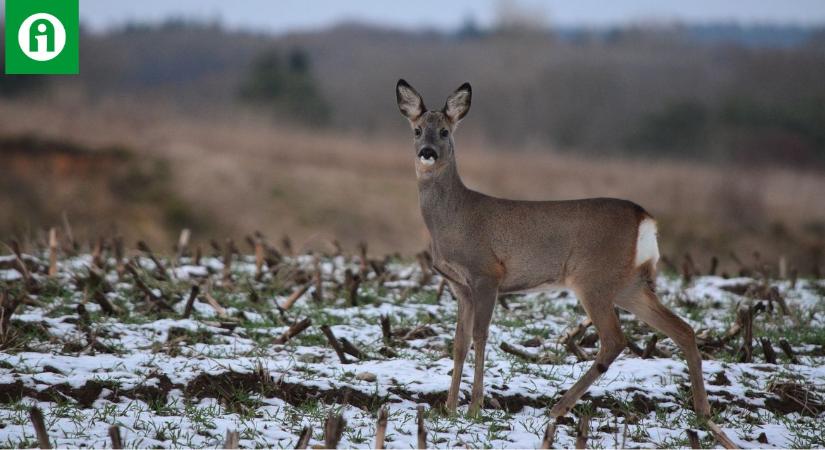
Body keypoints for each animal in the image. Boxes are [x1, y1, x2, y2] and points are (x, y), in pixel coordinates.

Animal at [394, 79, 732, 444]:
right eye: (417, 130)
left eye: (444, 131)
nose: (427, 152)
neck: (454, 219)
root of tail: (645, 218)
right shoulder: (460, 286)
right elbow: (459, 342)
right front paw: (449, 408)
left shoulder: (487, 274)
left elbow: (480, 337)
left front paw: (473, 409)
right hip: (629, 284)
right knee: (683, 329)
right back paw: (703, 412)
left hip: (593, 279)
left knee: (615, 339)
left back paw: (559, 408)